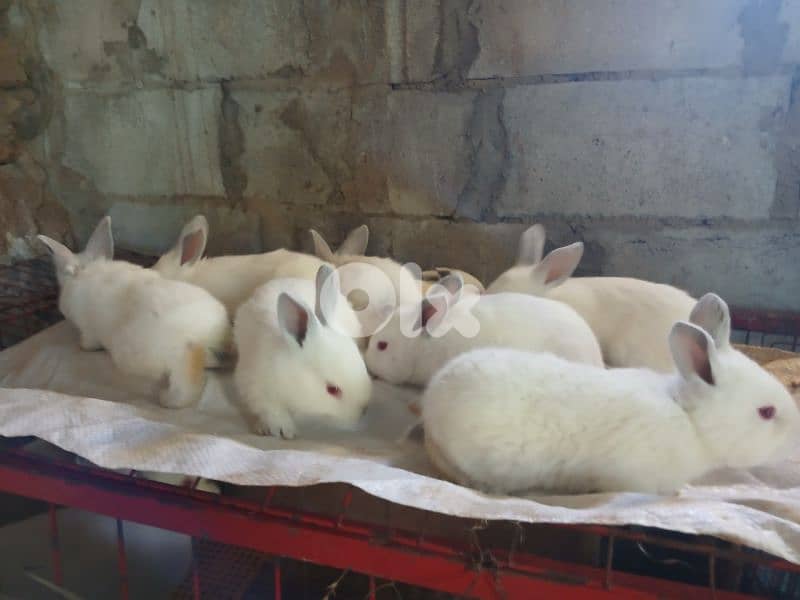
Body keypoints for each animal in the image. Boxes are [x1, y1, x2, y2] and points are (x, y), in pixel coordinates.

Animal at [38, 217, 231, 409]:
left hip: (160, 355)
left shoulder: (88, 330)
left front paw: (82, 346)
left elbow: (89, 342)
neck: (87, 269)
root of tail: (207, 333)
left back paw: (167, 399)